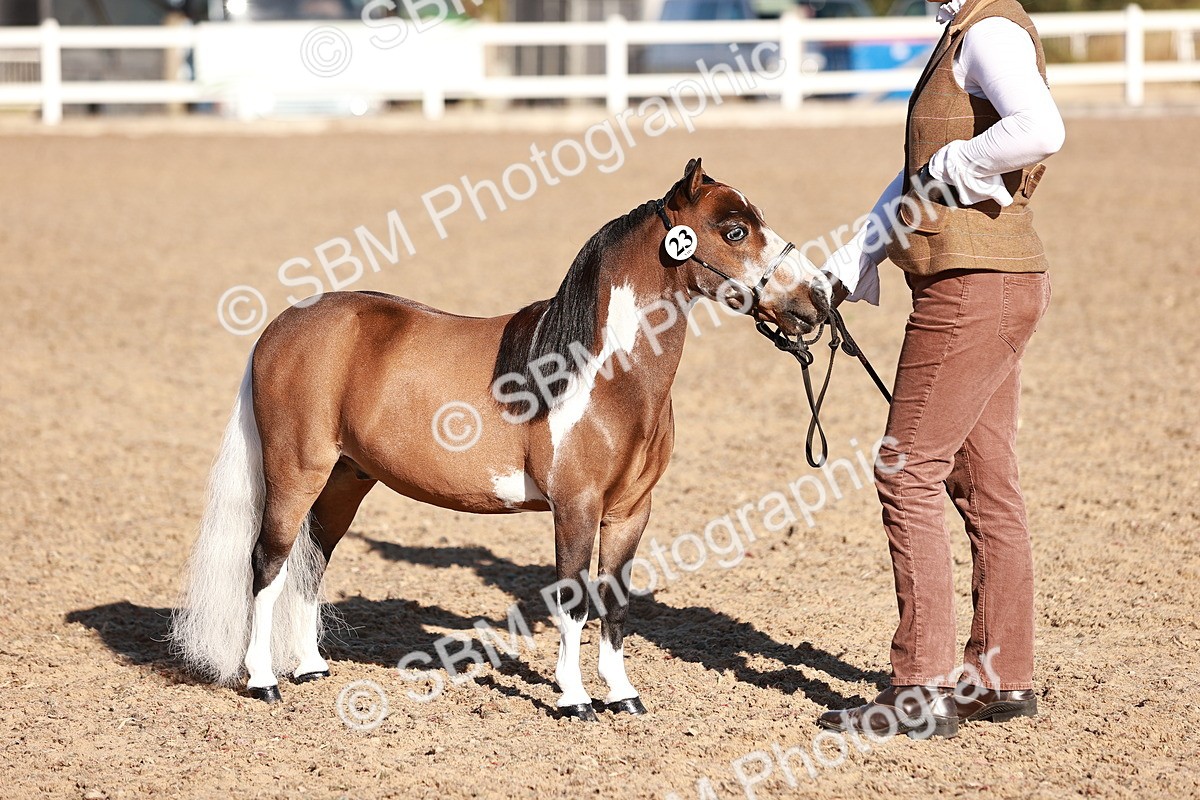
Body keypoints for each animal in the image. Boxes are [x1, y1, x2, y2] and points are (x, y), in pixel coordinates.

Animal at [170, 158, 832, 720]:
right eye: (735, 230)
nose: (817, 299)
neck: (602, 373)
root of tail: (282, 326)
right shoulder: (575, 505)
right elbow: (574, 600)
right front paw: (574, 700)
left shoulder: (630, 511)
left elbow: (616, 602)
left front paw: (622, 695)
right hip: (294, 472)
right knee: (267, 561)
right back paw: (264, 681)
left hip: (345, 480)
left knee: (310, 562)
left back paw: (311, 668)